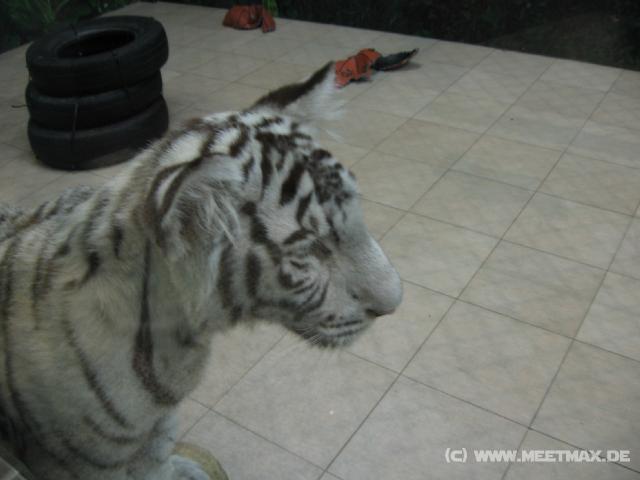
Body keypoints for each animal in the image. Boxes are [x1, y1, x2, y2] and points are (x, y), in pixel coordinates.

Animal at [0, 62, 402, 480]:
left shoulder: (158, 427)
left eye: (357, 213)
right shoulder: (82, 464)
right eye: (310, 250)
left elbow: (156, 464)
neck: (175, 345)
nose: (394, 306)